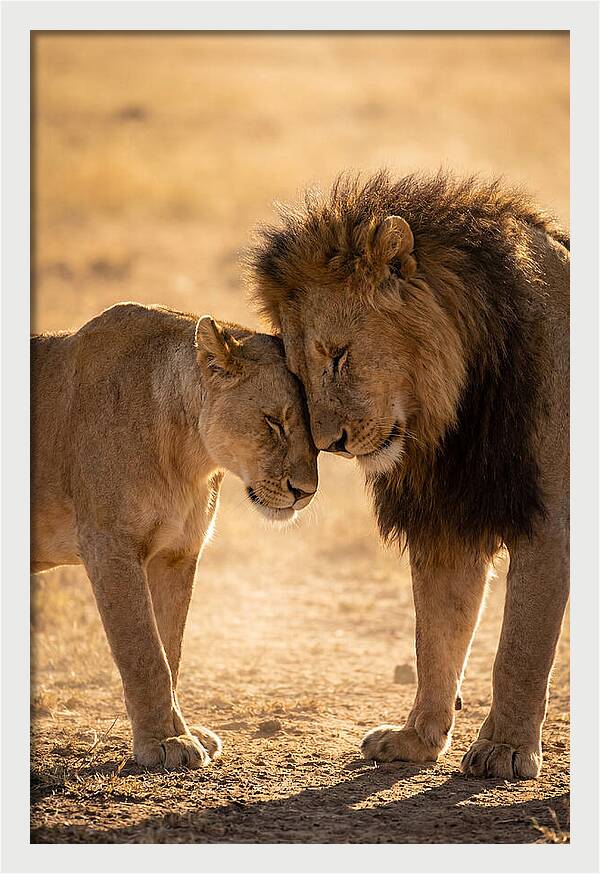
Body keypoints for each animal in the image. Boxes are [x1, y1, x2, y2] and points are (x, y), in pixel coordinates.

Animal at [31, 302, 318, 768]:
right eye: (274, 422)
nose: (305, 492)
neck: (189, 457)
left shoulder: (177, 553)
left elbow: (171, 651)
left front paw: (183, 732)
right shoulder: (110, 546)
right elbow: (145, 654)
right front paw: (163, 743)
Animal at [248, 170, 569, 779]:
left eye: (339, 356)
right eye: (297, 373)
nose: (330, 444)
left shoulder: (551, 522)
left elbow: (519, 647)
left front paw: (505, 749)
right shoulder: (447, 523)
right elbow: (435, 637)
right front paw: (417, 739)